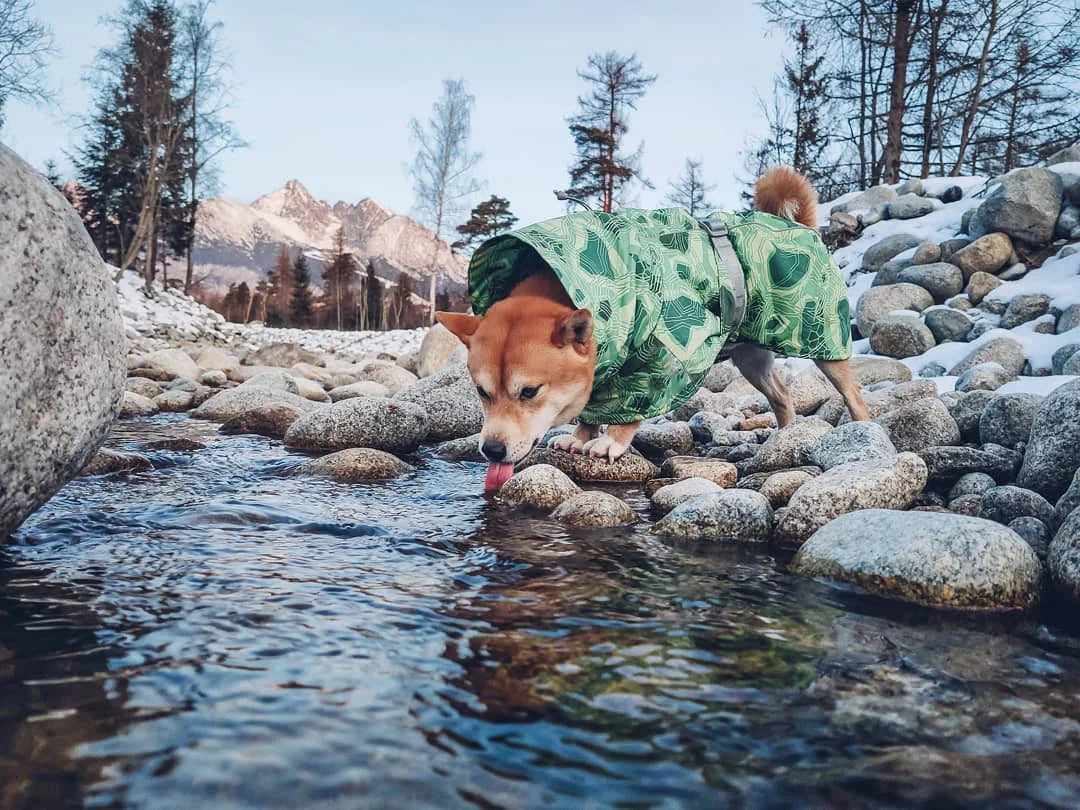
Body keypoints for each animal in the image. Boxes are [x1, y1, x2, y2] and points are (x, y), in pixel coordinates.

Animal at [436, 165, 868, 488]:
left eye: (529, 392)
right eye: (481, 392)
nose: (492, 451)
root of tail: (803, 228)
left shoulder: (666, 355)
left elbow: (634, 406)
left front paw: (611, 442)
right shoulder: (605, 366)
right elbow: (593, 407)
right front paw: (580, 437)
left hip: (824, 338)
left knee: (853, 395)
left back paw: (864, 436)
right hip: (751, 358)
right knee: (782, 396)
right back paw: (784, 438)